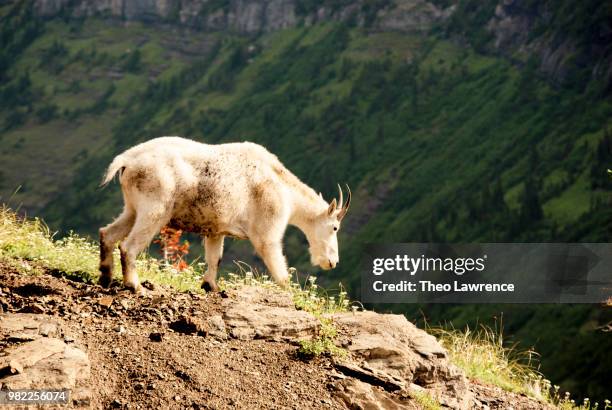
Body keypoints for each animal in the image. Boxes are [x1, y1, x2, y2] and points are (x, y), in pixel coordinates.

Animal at [98, 138, 352, 292]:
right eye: (335, 227)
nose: (333, 261)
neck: (285, 189)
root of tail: (126, 161)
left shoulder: (215, 230)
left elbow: (215, 258)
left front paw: (210, 286)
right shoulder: (268, 228)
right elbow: (278, 267)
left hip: (132, 208)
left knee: (107, 234)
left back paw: (105, 277)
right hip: (155, 208)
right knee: (128, 246)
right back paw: (134, 285)